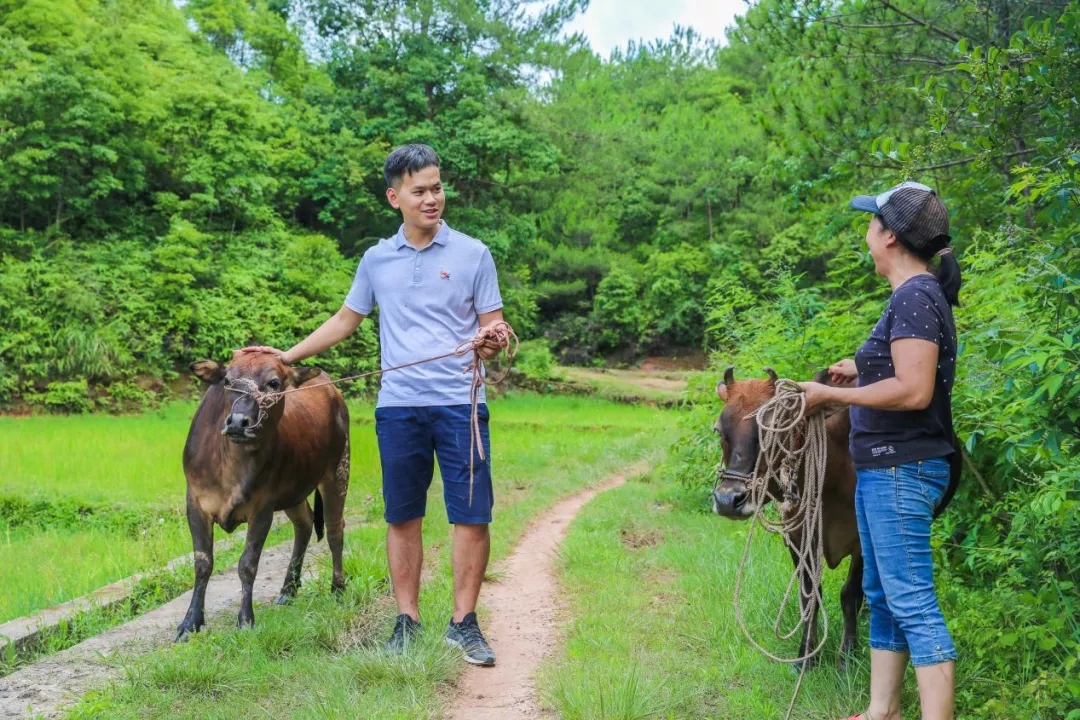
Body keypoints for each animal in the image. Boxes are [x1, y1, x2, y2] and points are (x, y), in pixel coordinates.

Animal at [174, 351, 347, 639]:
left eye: (273, 383)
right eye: (227, 381)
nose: (237, 422)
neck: (231, 464)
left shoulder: (263, 508)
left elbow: (248, 564)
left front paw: (245, 619)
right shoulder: (195, 503)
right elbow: (202, 563)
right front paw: (190, 622)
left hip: (337, 472)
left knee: (335, 531)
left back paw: (338, 589)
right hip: (294, 491)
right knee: (305, 524)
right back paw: (288, 591)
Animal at [712, 367, 864, 669]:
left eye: (775, 430)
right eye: (719, 431)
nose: (727, 501)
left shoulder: (867, 540)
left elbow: (850, 594)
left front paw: (846, 658)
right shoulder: (798, 537)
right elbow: (809, 596)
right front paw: (805, 657)